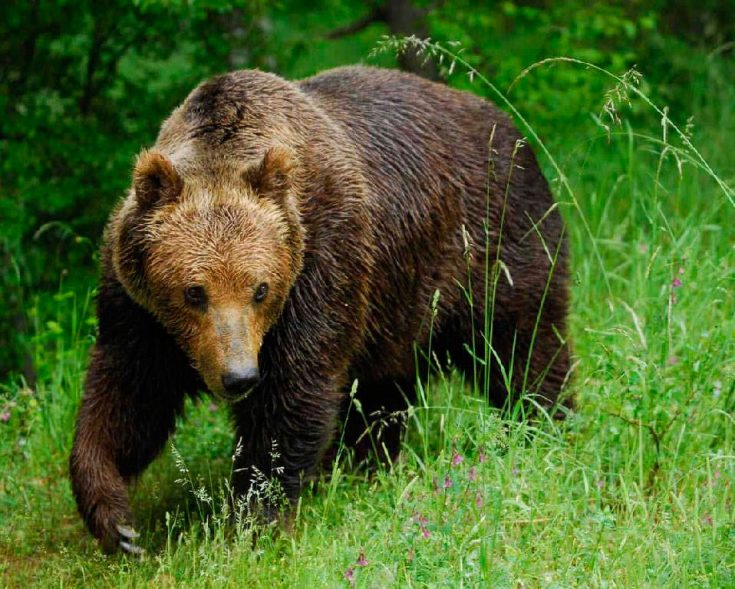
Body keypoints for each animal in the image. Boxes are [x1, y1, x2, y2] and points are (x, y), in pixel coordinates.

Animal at [69, 64, 572, 552]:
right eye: (195, 292)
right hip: (396, 305)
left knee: (521, 345)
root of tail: (512, 127)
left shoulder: (320, 266)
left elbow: (292, 395)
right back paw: (367, 463)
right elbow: (130, 395)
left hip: (491, 247)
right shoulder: (141, 311)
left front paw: (255, 520)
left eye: (260, 289)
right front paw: (116, 519)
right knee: (383, 390)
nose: (239, 377)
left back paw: (541, 425)